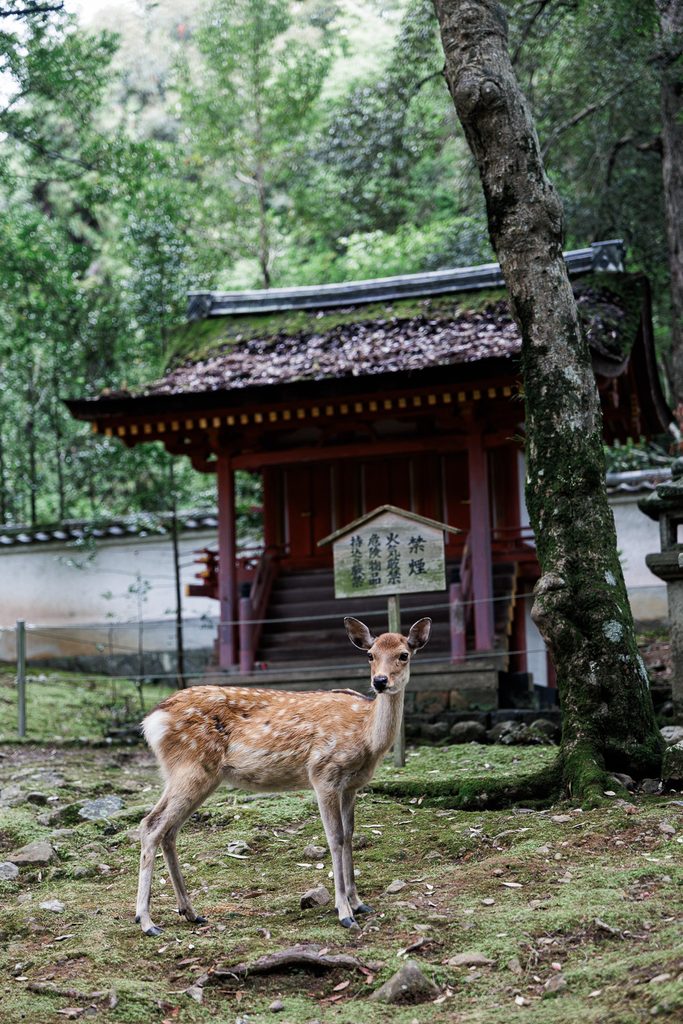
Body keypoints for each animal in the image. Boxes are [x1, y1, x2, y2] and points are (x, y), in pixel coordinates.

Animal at [135, 615, 431, 935]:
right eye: (370, 655)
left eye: (404, 654)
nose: (380, 681)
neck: (366, 738)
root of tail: (151, 721)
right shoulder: (323, 774)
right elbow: (335, 838)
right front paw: (344, 912)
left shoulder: (352, 785)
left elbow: (350, 835)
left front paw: (359, 902)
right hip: (190, 768)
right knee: (151, 825)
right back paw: (146, 920)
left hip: (194, 774)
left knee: (169, 831)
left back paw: (190, 912)